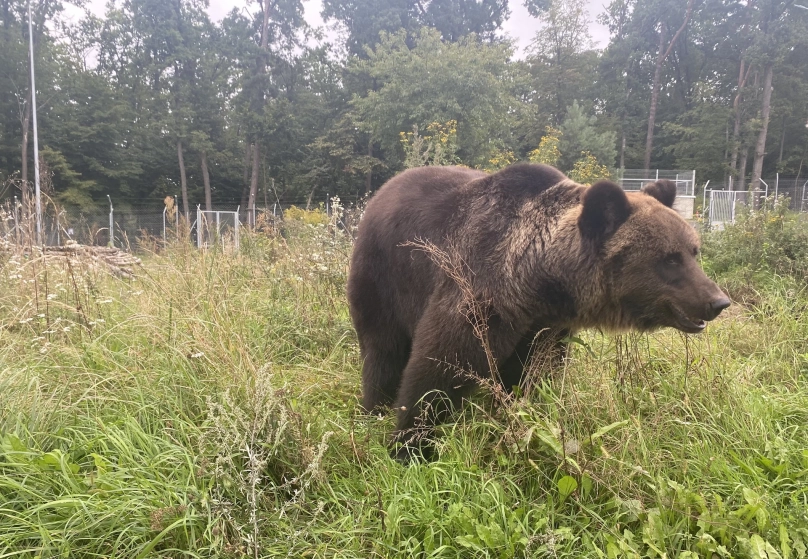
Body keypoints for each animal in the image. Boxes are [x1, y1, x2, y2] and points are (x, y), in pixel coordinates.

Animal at [348, 162, 732, 460]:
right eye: (669, 259)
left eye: (693, 251)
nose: (717, 301)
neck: (536, 283)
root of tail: (384, 188)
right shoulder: (479, 294)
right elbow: (439, 363)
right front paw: (409, 443)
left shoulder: (545, 327)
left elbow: (534, 374)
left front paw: (520, 414)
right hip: (384, 276)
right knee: (383, 350)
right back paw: (373, 408)